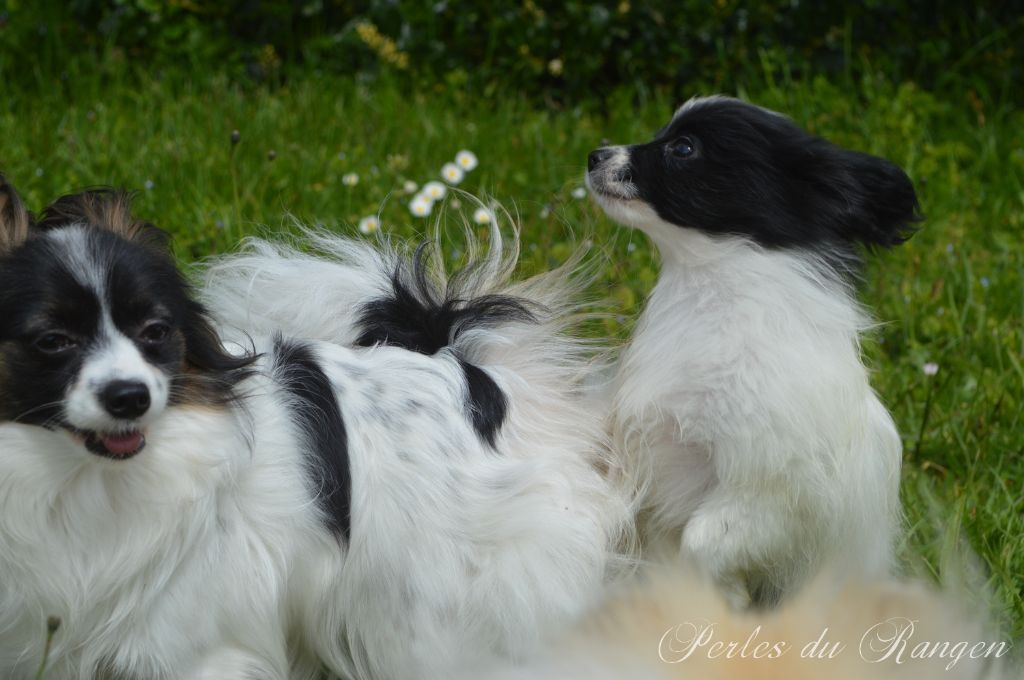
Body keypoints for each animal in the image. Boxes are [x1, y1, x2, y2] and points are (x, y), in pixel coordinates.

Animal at [0, 179, 627, 679]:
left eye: (154, 332)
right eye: (52, 341)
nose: (131, 397)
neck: (83, 476)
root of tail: (470, 373)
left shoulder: (199, 650)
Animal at [586, 95, 921, 608]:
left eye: (683, 148)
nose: (594, 156)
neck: (712, 300)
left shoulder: (770, 493)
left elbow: (701, 543)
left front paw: (728, 600)